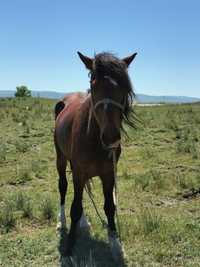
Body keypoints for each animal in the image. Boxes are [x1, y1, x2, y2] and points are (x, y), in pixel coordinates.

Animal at [54, 51, 137, 260]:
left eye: (124, 87)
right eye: (93, 84)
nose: (111, 137)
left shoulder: (108, 174)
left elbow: (109, 207)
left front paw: (116, 246)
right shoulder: (79, 171)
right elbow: (75, 208)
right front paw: (69, 248)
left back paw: (83, 222)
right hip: (61, 158)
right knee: (63, 187)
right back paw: (62, 221)